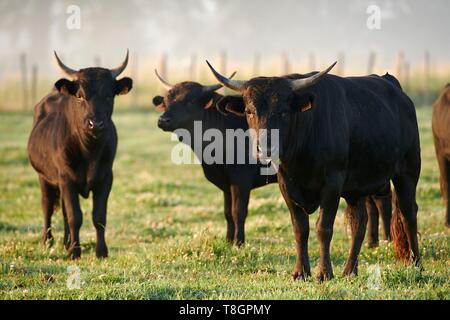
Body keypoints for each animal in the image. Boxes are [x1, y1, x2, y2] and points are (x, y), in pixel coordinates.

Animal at [27, 50, 132, 260]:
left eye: (108, 96)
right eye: (81, 96)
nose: (95, 124)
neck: (90, 152)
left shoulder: (105, 178)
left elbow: (98, 216)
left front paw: (101, 252)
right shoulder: (67, 178)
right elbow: (75, 216)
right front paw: (75, 252)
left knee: (63, 211)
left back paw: (66, 242)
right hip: (44, 177)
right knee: (47, 206)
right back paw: (47, 242)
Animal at [152, 70, 278, 245]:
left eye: (189, 101)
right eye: (165, 101)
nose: (163, 120)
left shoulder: (241, 179)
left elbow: (238, 212)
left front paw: (239, 243)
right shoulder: (226, 183)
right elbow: (228, 213)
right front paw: (228, 241)